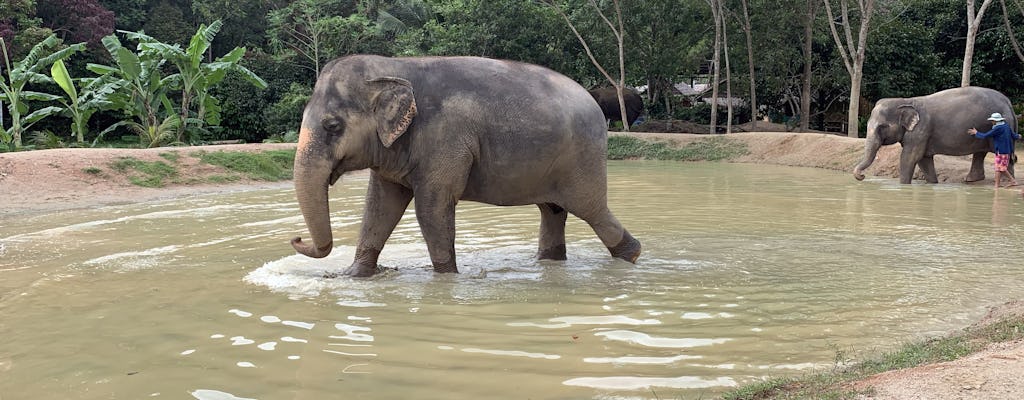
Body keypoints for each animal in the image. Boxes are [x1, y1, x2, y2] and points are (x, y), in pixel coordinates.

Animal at [288, 54, 638, 278]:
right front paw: (353, 276)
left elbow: (431, 208)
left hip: (582, 160)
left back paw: (632, 257)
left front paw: (446, 280)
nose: (297, 239)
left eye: (332, 126)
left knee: (592, 212)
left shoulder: (445, 138)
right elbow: (380, 206)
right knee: (552, 211)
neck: (393, 65)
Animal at [851, 85, 1011, 185]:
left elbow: (910, 157)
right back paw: (972, 180)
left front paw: (903, 185)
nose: (862, 176)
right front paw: (932, 183)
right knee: (980, 152)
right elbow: (924, 159)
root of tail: (1008, 102)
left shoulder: (921, 129)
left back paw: (1006, 182)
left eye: (882, 127)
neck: (906, 100)